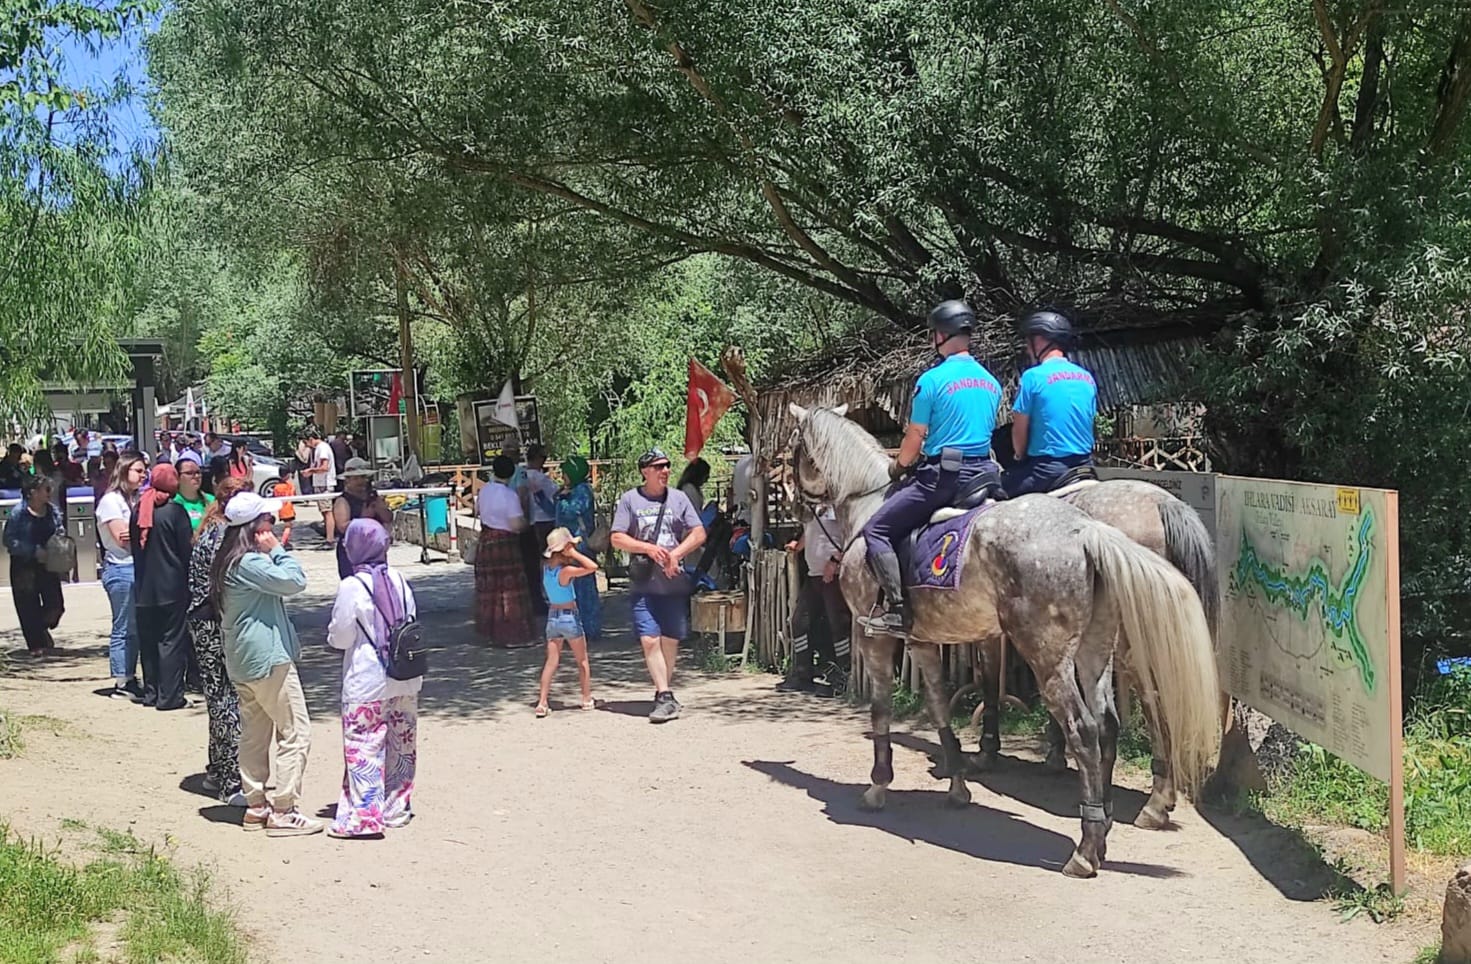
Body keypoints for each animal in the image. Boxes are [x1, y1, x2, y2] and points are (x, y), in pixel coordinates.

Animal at [788, 403, 1223, 877]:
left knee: (1099, 723)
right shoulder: (923, 639)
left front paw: (880, 786)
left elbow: (887, 708)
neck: (871, 507)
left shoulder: (877, 637)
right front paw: (959, 782)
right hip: (1095, 649)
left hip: (1062, 652)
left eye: (793, 450)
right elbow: (939, 706)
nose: (793, 506)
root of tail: (1087, 531)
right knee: (1108, 722)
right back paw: (1109, 817)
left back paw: (1094, 843)